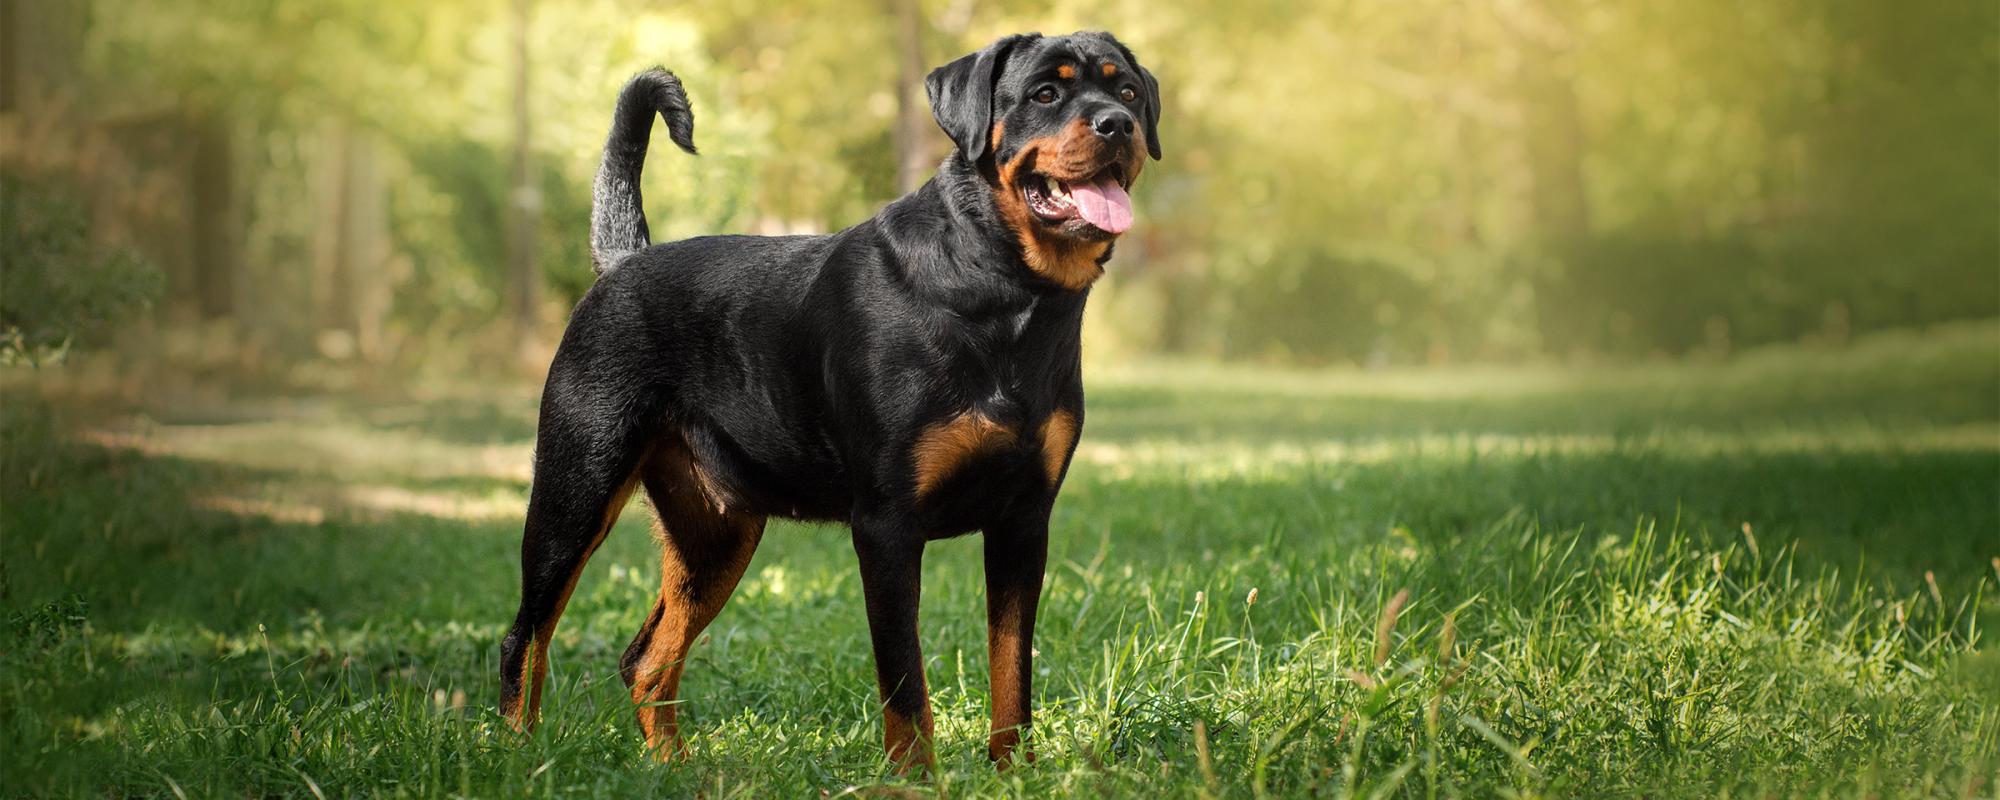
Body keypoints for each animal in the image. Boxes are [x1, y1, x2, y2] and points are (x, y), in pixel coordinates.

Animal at [492, 29, 1168, 768]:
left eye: (1127, 91)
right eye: (1046, 93)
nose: (1118, 124)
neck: (1006, 293)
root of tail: (622, 261)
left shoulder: (1024, 520)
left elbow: (1012, 667)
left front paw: (1012, 771)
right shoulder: (886, 525)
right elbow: (905, 682)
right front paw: (914, 777)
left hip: (716, 534)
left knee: (645, 659)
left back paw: (673, 767)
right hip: (576, 489)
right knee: (526, 637)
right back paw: (518, 755)